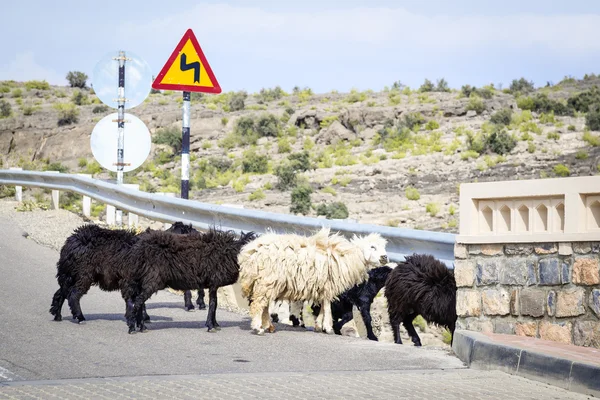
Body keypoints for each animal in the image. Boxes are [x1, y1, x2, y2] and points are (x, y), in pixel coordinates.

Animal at [122, 228, 255, 334]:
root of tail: (139, 251)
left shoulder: (214, 284)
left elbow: (215, 304)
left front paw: (215, 324)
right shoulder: (214, 281)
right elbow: (213, 304)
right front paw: (211, 326)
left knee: (138, 301)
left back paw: (141, 326)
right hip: (152, 279)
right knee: (138, 301)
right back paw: (133, 328)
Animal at [237, 228, 386, 334]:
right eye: (372, 247)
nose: (385, 257)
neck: (346, 256)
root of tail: (251, 251)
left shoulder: (322, 286)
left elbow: (323, 306)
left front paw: (319, 325)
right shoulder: (328, 285)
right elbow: (327, 306)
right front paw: (327, 326)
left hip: (266, 282)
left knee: (264, 304)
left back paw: (268, 326)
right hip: (267, 280)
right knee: (258, 303)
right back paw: (258, 327)